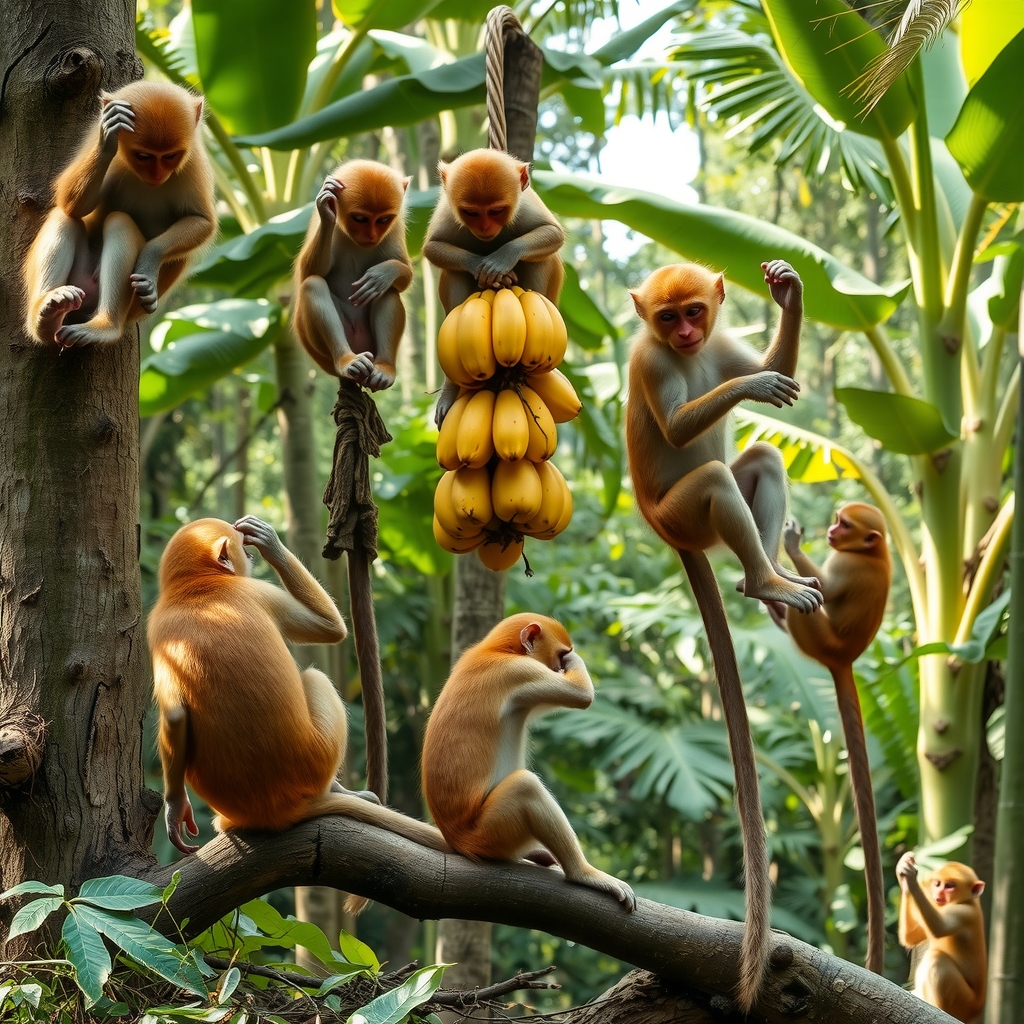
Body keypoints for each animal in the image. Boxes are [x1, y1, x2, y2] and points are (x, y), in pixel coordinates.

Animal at [22, 78, 214, 348]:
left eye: (169, 156)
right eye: (144, 156)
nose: (157, 175)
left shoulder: (193, 160)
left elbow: (202, 221)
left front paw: (148, 264)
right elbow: (71, 204)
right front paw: (108, 138)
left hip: (131, 307)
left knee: (120, 221)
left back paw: (105, 326)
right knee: (65, 217)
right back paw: (47, 313)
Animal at [419, 614, 634, 913]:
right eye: (560, 654)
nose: (558, 667)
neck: (496, 650)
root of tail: (459, 839)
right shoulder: (519, 671)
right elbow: (579, 694)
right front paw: (575, 660)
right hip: (492, 832)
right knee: (525, 786)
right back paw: (583, 874)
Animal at [421, 149, 569, 423]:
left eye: (496, 211)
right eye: (471, 212)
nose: (485, 228)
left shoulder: (525, 205)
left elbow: (553, 234)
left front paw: (501, 261)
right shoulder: (448, 210)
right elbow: (433, 248)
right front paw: (480, 266)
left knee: (542, 260)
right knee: (454, 273)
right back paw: (451, 389)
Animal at [770, 503, 892, 974]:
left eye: (845, 524)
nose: (831, 532)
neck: (874, 553)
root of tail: (844, 659)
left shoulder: (845, 564)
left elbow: (824, 582)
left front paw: (792, 547)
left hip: (818, 639)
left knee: (811, 607)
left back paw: (781, 605)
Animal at [897, 851, 983, 1019]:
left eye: (949, 886)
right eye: (938, 884)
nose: (938, 893)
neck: (968, 901)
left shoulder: (964, 914)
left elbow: (939, 928)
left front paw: (911, 880)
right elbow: (911, 937)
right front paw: (904, 873)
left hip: (962, 1001)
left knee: (936, 958)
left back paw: (938, 1007)